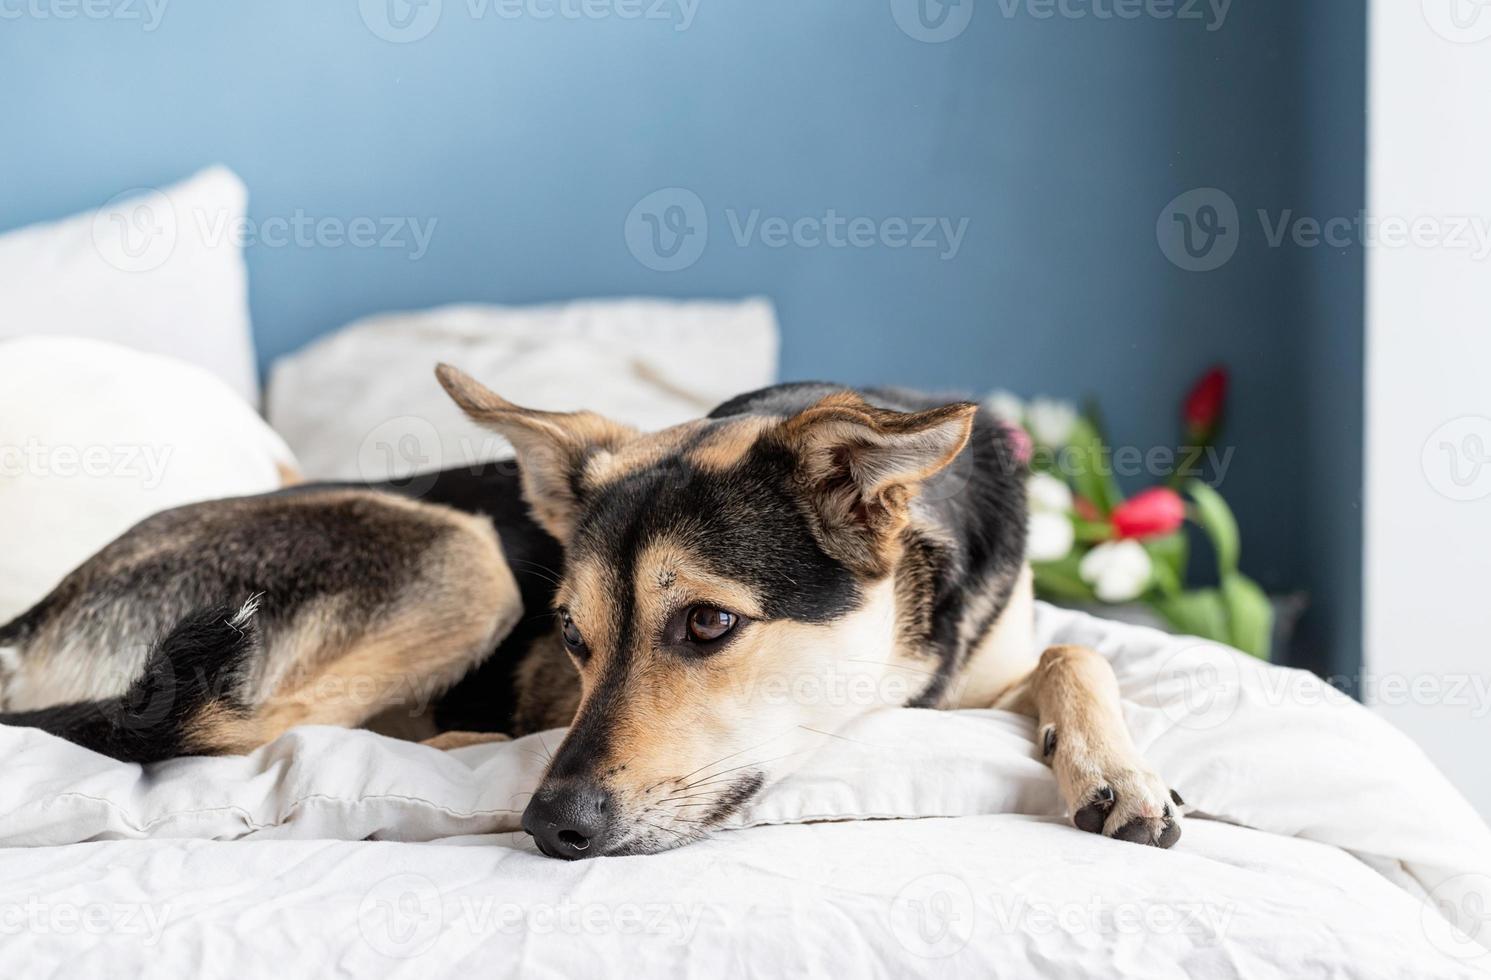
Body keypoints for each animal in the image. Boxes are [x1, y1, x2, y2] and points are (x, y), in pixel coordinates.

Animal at [0, 365, 1186, 859]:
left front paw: (1116, 767)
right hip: (465, 558)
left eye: (707, 624)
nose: (551, 829)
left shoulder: (989, 658)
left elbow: (1077, 652)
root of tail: (30, 618)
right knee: (253, 725)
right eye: (573, 637)